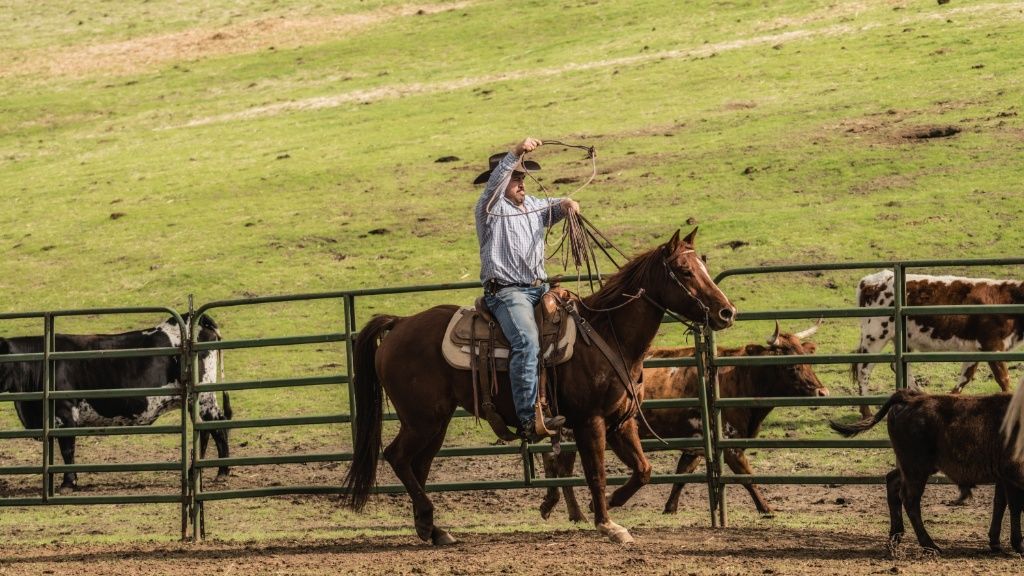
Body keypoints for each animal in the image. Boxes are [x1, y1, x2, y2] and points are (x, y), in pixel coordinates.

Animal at [0, 311, 232, 491]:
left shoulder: (66, 413)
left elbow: (67, 449)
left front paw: (68, 483)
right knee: (206, 430)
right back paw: (196, 471)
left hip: (203, 398)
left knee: (217, 427)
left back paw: (222, 472)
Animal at [344, 226, 737, 541]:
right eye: (685, 271)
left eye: (703, 266)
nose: (727, 312)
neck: (608, 334)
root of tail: (400, 323)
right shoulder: (590, 420)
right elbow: (596, 472)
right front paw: (607, 523)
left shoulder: (621, 422)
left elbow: (643, 470)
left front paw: (612, 504)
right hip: (421, 419)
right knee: (398, 457)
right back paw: (430, 522)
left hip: (433, 422)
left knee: (418, 465)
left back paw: (432, 529)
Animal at [540, 317, 827, 520]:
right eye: (790, 366)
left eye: (807, 360)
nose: (822, 392)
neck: (737, 376)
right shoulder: (730, 444)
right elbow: (747, 477)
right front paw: (766, 508)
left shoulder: (696, 444)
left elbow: (682, 474)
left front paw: (670, 507)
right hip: (573, 432)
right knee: (562, 468)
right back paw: (574, 512)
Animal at [831, 387, 1024, 553]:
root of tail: (910, 398)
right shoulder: (1011, 476)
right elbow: (1015, 508)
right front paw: (1018, 545)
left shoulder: (1003, 479)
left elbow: (1000, 505)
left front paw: (996, 543)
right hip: (916, 470)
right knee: (910, 500)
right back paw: (930, 546)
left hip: (911, 468)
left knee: (892, 482)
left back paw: (895, 539)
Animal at [847, 270, 1024, 414]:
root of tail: (870, 280)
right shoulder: (992, 345)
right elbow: (1003, 378)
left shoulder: (975, 349)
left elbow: (965, 377)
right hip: (875, 336)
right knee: (863, 369)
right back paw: (866, 412)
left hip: (902, 340)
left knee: (899, 366)